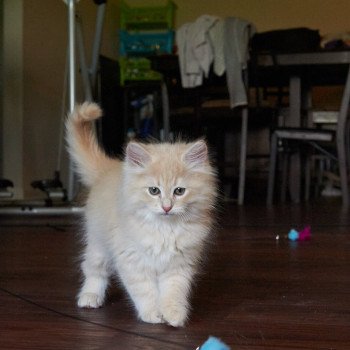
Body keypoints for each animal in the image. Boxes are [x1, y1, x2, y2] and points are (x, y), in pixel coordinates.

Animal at [65, 102, 217, 326]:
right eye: (154, 190)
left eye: (179, 191)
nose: (166, 207)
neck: (165, 229)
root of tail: (109, 168)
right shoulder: (132, 261)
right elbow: (145, 291)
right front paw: (153, 314)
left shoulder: (179, 265)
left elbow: (174, 291)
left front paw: (174, 314)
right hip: (99, 245)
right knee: (93, 270)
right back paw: (90, 297)